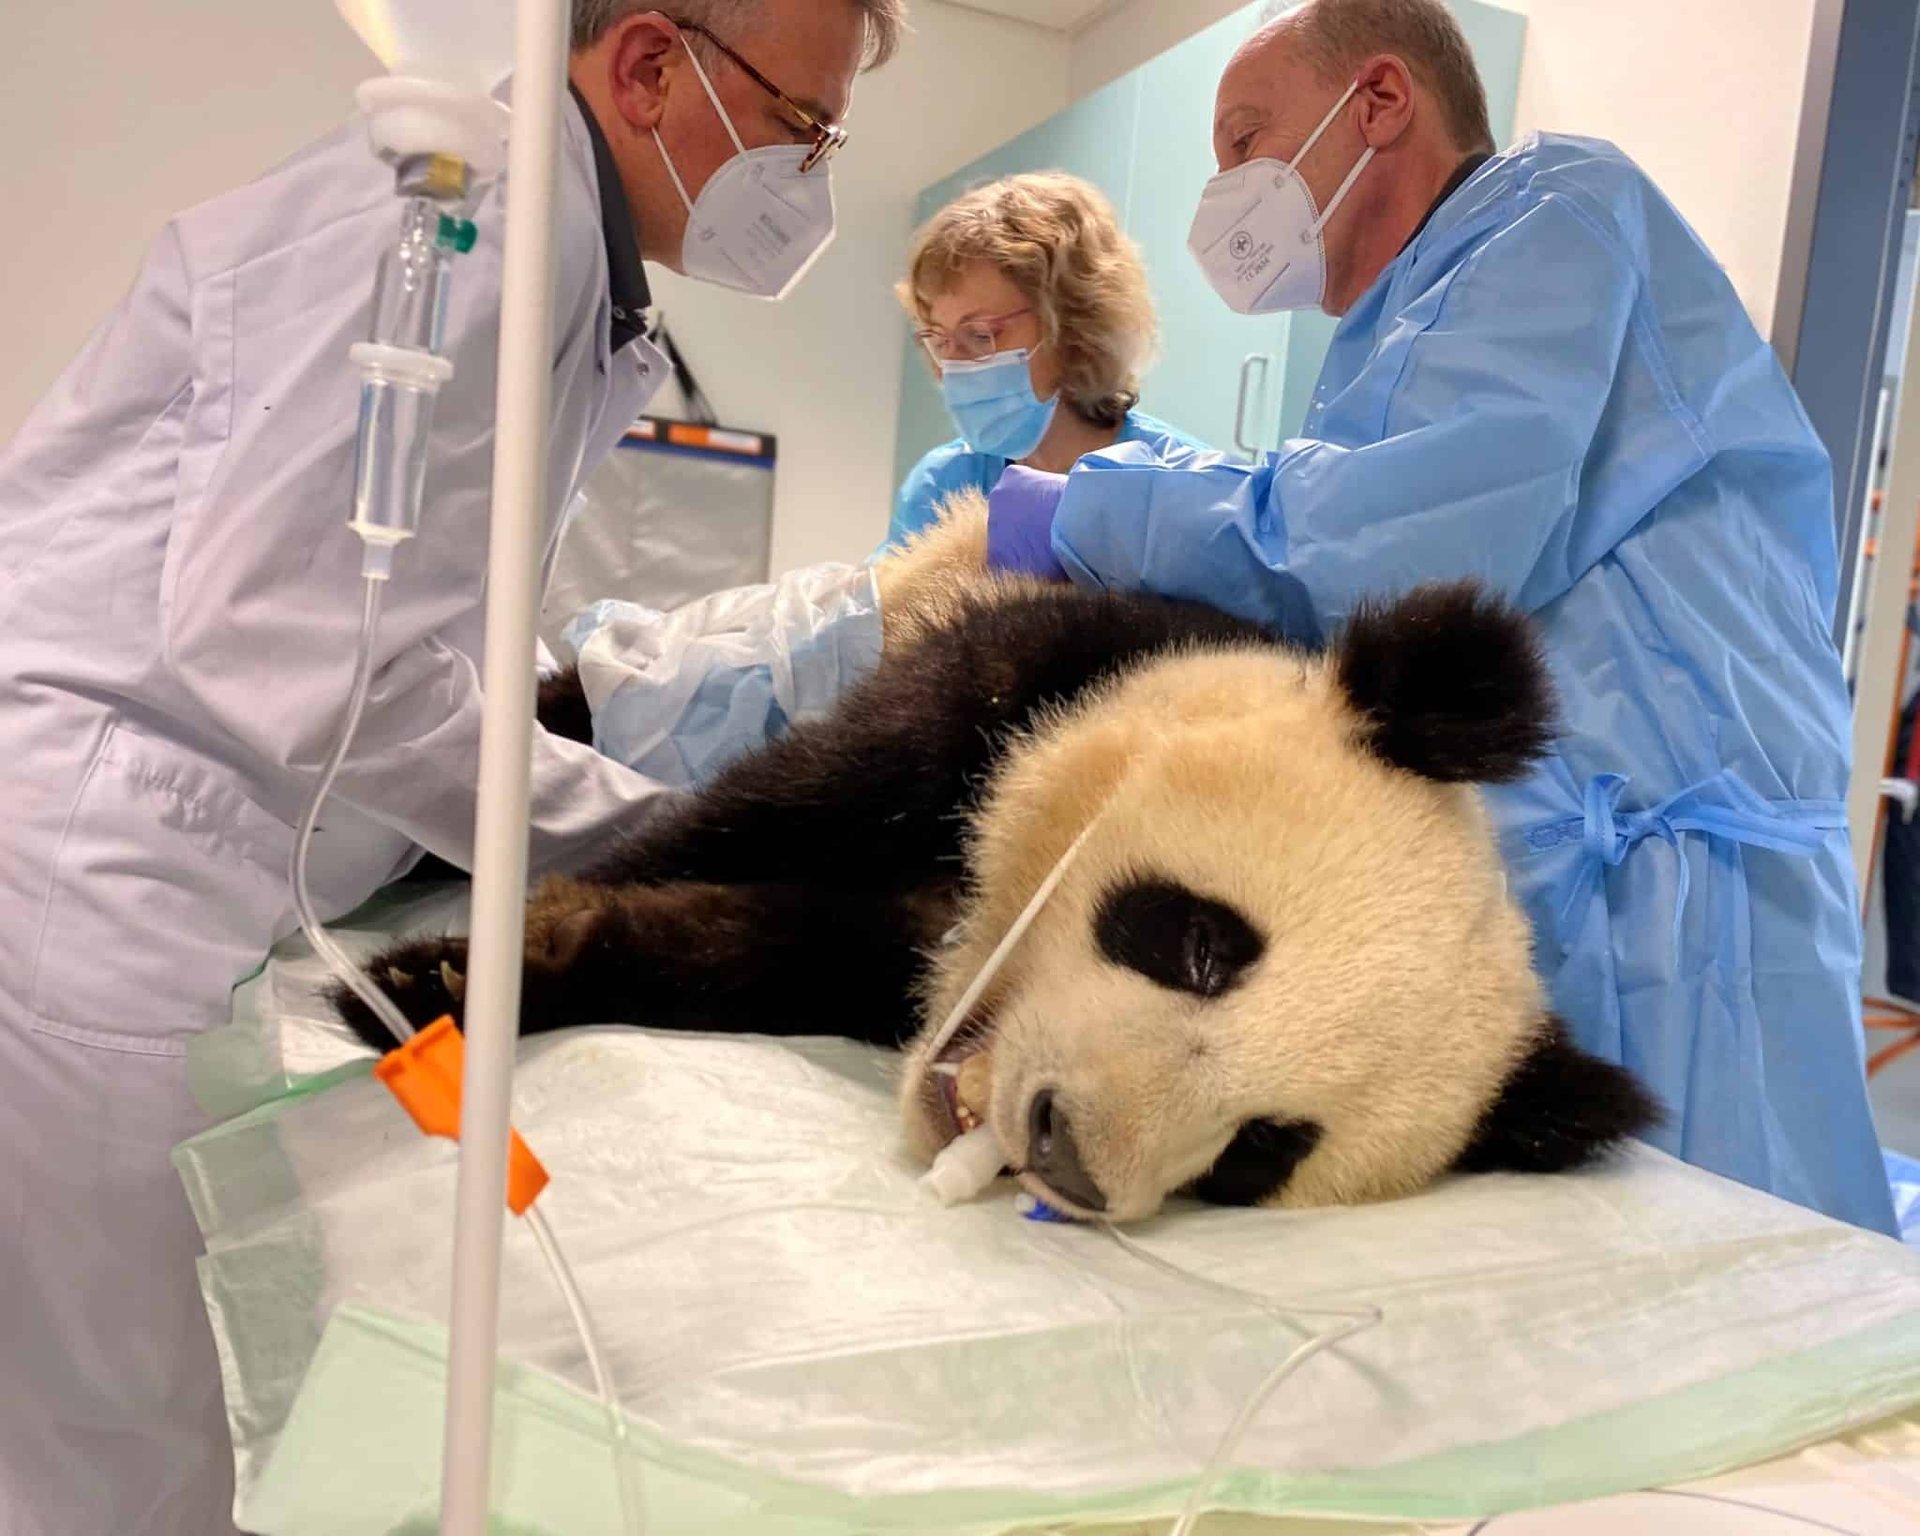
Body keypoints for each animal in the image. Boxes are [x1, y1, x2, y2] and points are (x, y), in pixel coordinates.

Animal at [337, 494, 1655, 1222]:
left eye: (1262, 1150)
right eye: (1202, 944)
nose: (1066, 1153)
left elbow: (768, 948)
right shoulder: (1036, 667)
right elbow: (766, 810)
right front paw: (445, 981)